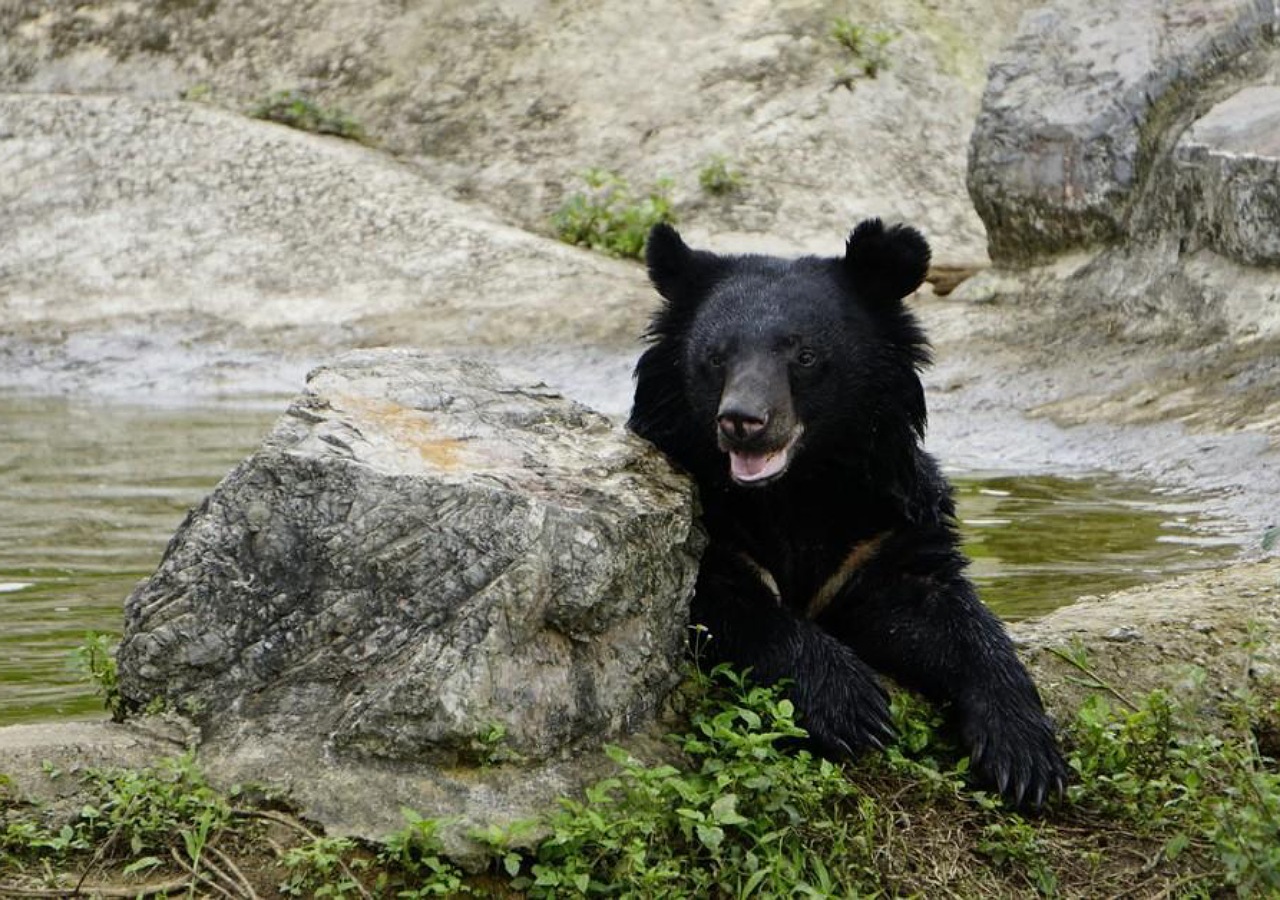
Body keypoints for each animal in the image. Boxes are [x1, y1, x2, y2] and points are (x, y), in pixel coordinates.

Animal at [628, 218, 1067, 808]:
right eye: (716, 357)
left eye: (805, 355)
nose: (743, 421)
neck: (797, 487)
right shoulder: (713, 523)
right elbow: (732, 605)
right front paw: (854, 707)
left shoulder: (878, 528)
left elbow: (945, 615)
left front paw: (1026, 757)